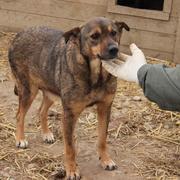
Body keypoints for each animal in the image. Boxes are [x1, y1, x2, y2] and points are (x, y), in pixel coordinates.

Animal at [8, 16, 129, 179]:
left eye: (114, 33)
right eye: (94, 36)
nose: (114, 49)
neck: (95, 74)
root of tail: (19, 34)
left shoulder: (105, 108)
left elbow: (102, 139)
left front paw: (105, 160)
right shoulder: (69, 114)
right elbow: (70, 148)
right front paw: (71, 170)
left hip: (51, 91)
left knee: (41, 111)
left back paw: (46, 134)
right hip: (28, 90)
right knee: (19, 115)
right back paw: (20, 139)